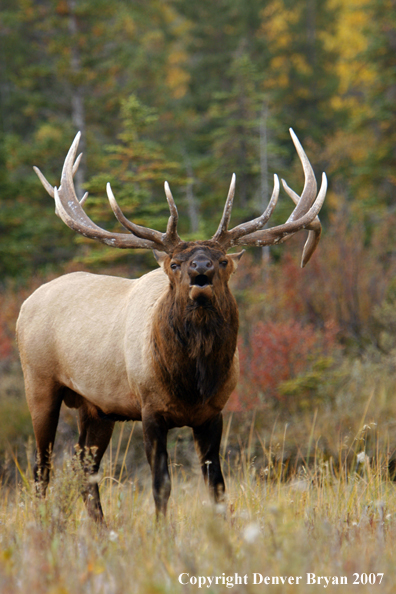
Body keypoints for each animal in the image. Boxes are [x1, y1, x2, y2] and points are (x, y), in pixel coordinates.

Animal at [16, 130, 324, 520]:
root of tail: (26, 303)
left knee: (85, 466)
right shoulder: (150, 410)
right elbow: (161, 486)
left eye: (223, 261)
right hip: (39, 383)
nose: (200, 269)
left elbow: (217, 486)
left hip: (96, 407)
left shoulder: (213, 413)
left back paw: (98, 527)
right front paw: (163, 530)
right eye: (176, 263)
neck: (192, 381)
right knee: (42, 467)